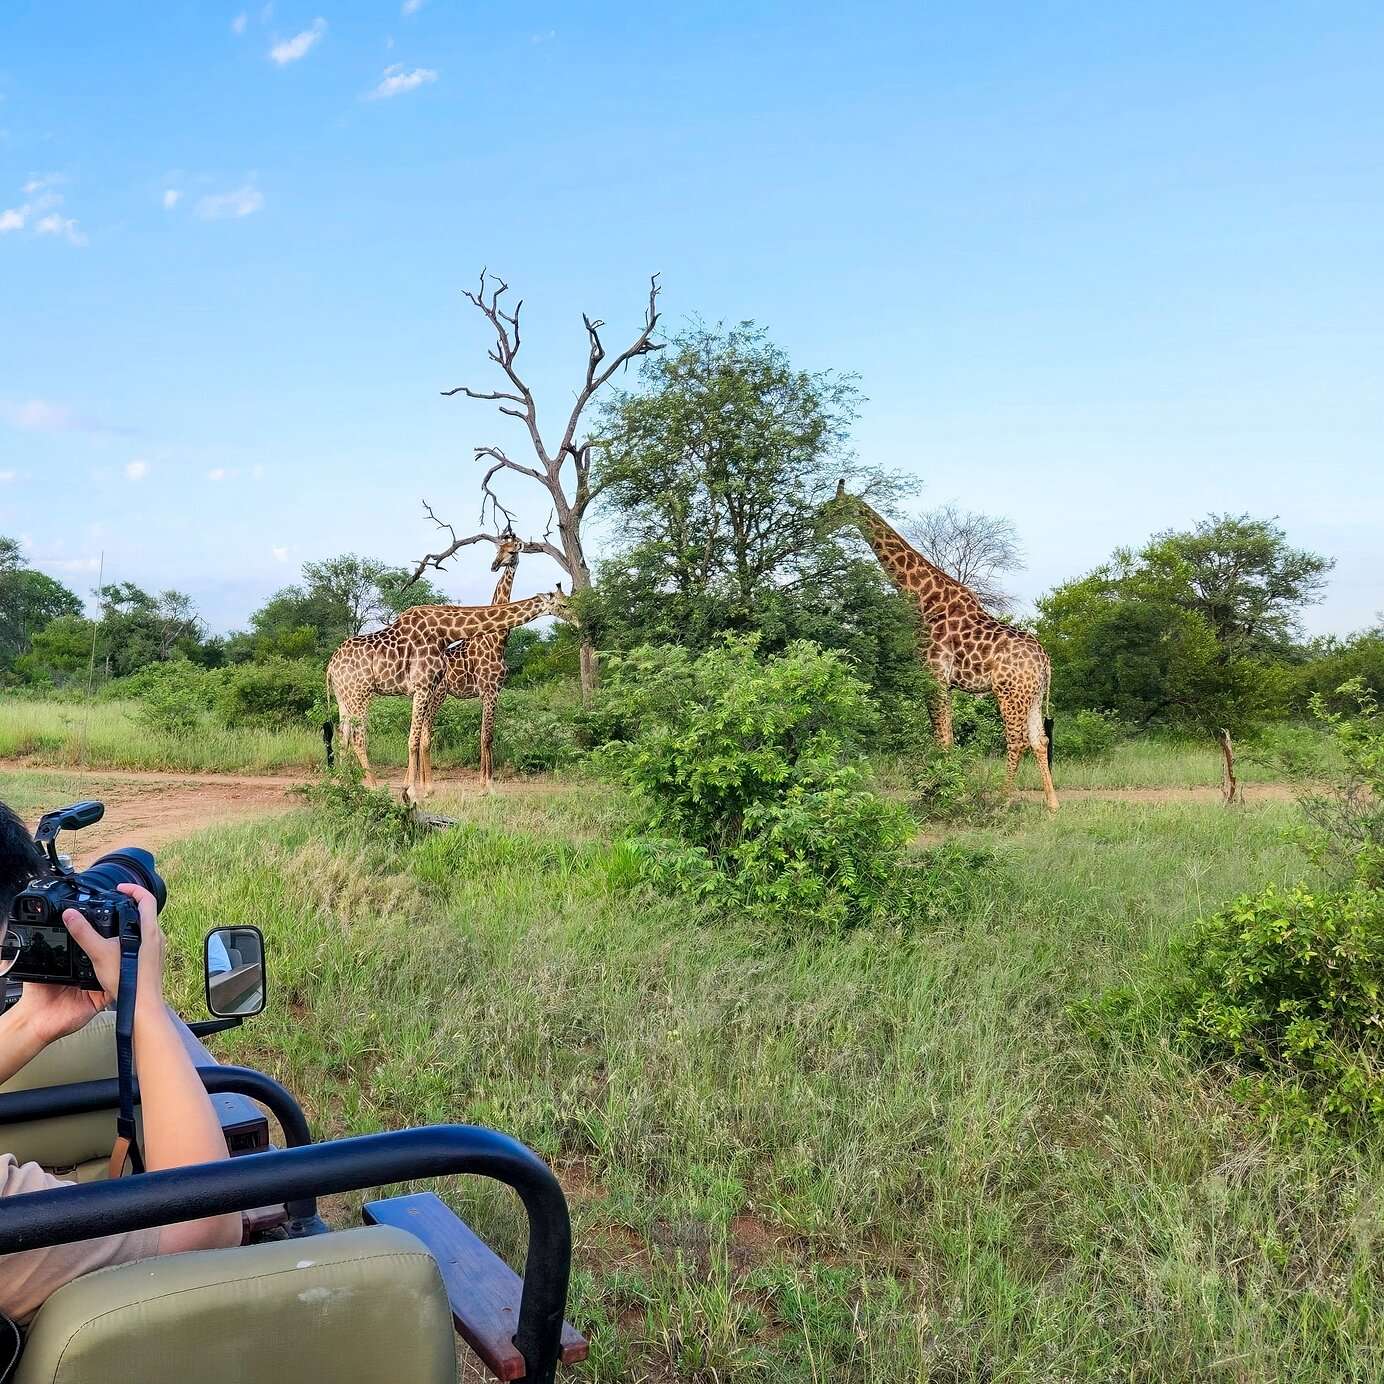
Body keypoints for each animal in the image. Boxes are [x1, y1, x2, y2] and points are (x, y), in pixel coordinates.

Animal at [325, 586, 572, 803]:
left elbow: (421, 737)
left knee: (344, 735)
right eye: (564, 604)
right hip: (361, 693)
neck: (445, 632)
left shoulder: (429, 688)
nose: (577, 619)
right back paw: (374, 788)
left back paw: (347, 785)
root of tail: (330, 666)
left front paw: (413, 789)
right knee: (358, 737)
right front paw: (411, 793)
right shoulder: (424, 686)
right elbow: (414, 739)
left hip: (343, 696)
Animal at [826, 482, 1059, 810]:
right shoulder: (945, 683)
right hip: (1033, 693)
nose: (814, 528)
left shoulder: (933, 676)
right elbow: (947, 738)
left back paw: (1002, 800)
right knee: (1040, 740)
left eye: (829, 509)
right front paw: (947, 789)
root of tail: (1045, 660)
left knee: (1017, 740)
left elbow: (941, 739)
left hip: (1009, 692)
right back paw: (1052, 804)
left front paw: (943, 793)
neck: (924, 599)